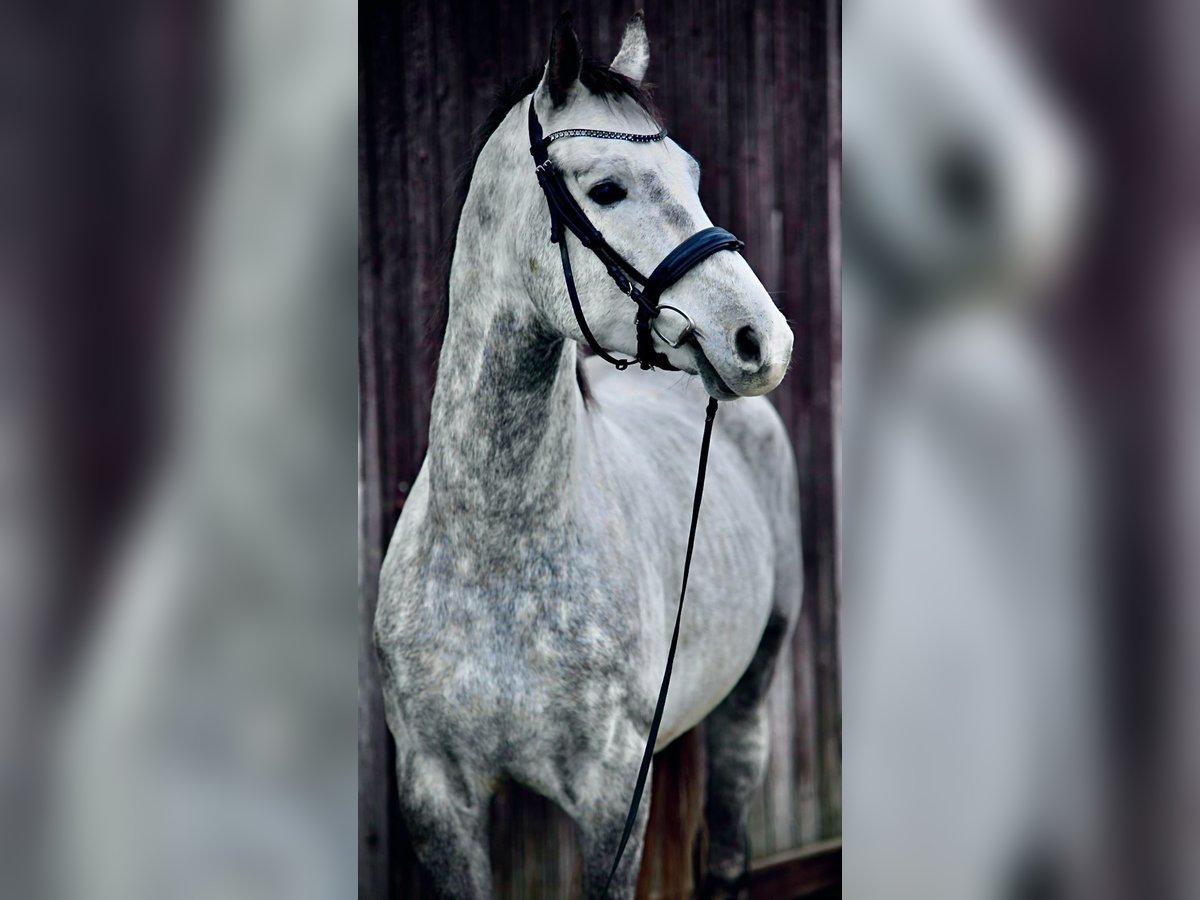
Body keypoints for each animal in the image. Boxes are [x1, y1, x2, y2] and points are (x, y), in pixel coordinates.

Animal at [372, 14, 806, 900]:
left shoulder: (612, 796)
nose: (764, 341)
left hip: (753, 691)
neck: (491, 554)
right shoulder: (434, 797)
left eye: (692, 174)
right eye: (608, 189)